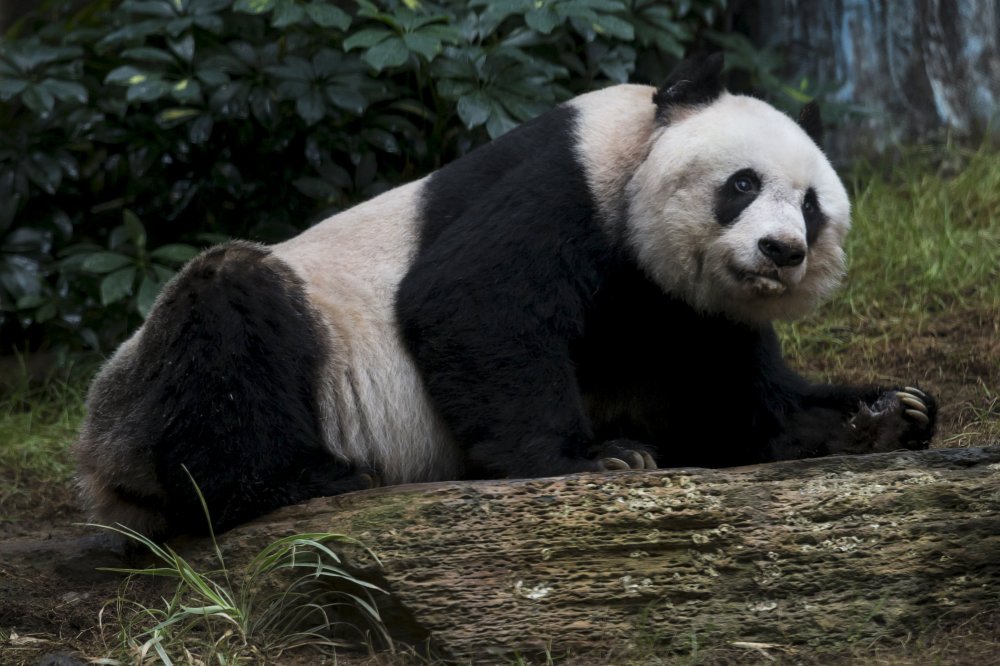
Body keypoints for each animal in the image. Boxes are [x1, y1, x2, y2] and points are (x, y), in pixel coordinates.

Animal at [76, 54, 936, 536]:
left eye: (813, 209)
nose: (782, 251)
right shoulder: (565, 180)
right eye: (744, 184)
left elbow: (741, 401)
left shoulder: (684, 311)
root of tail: (101, 472)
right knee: (228, 320)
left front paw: (884, 415)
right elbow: (470, 302)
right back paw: (305, 478)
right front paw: (597, 458)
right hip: (159, 382)